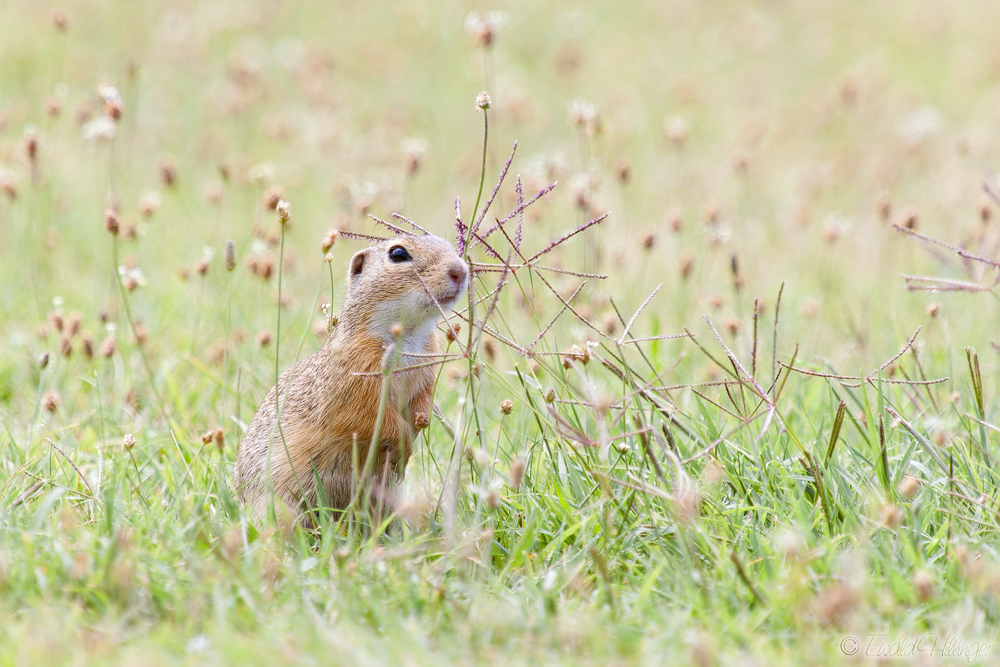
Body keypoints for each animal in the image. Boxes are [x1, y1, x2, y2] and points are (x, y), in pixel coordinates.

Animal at [234, 237, 468, 524]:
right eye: (398, 254)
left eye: (448, 244)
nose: (460, 271)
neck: (408, 336)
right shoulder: (354, 379)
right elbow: (370, 418)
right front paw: (403, 445)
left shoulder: (426, 371)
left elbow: (422, 401)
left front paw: (416, 431)